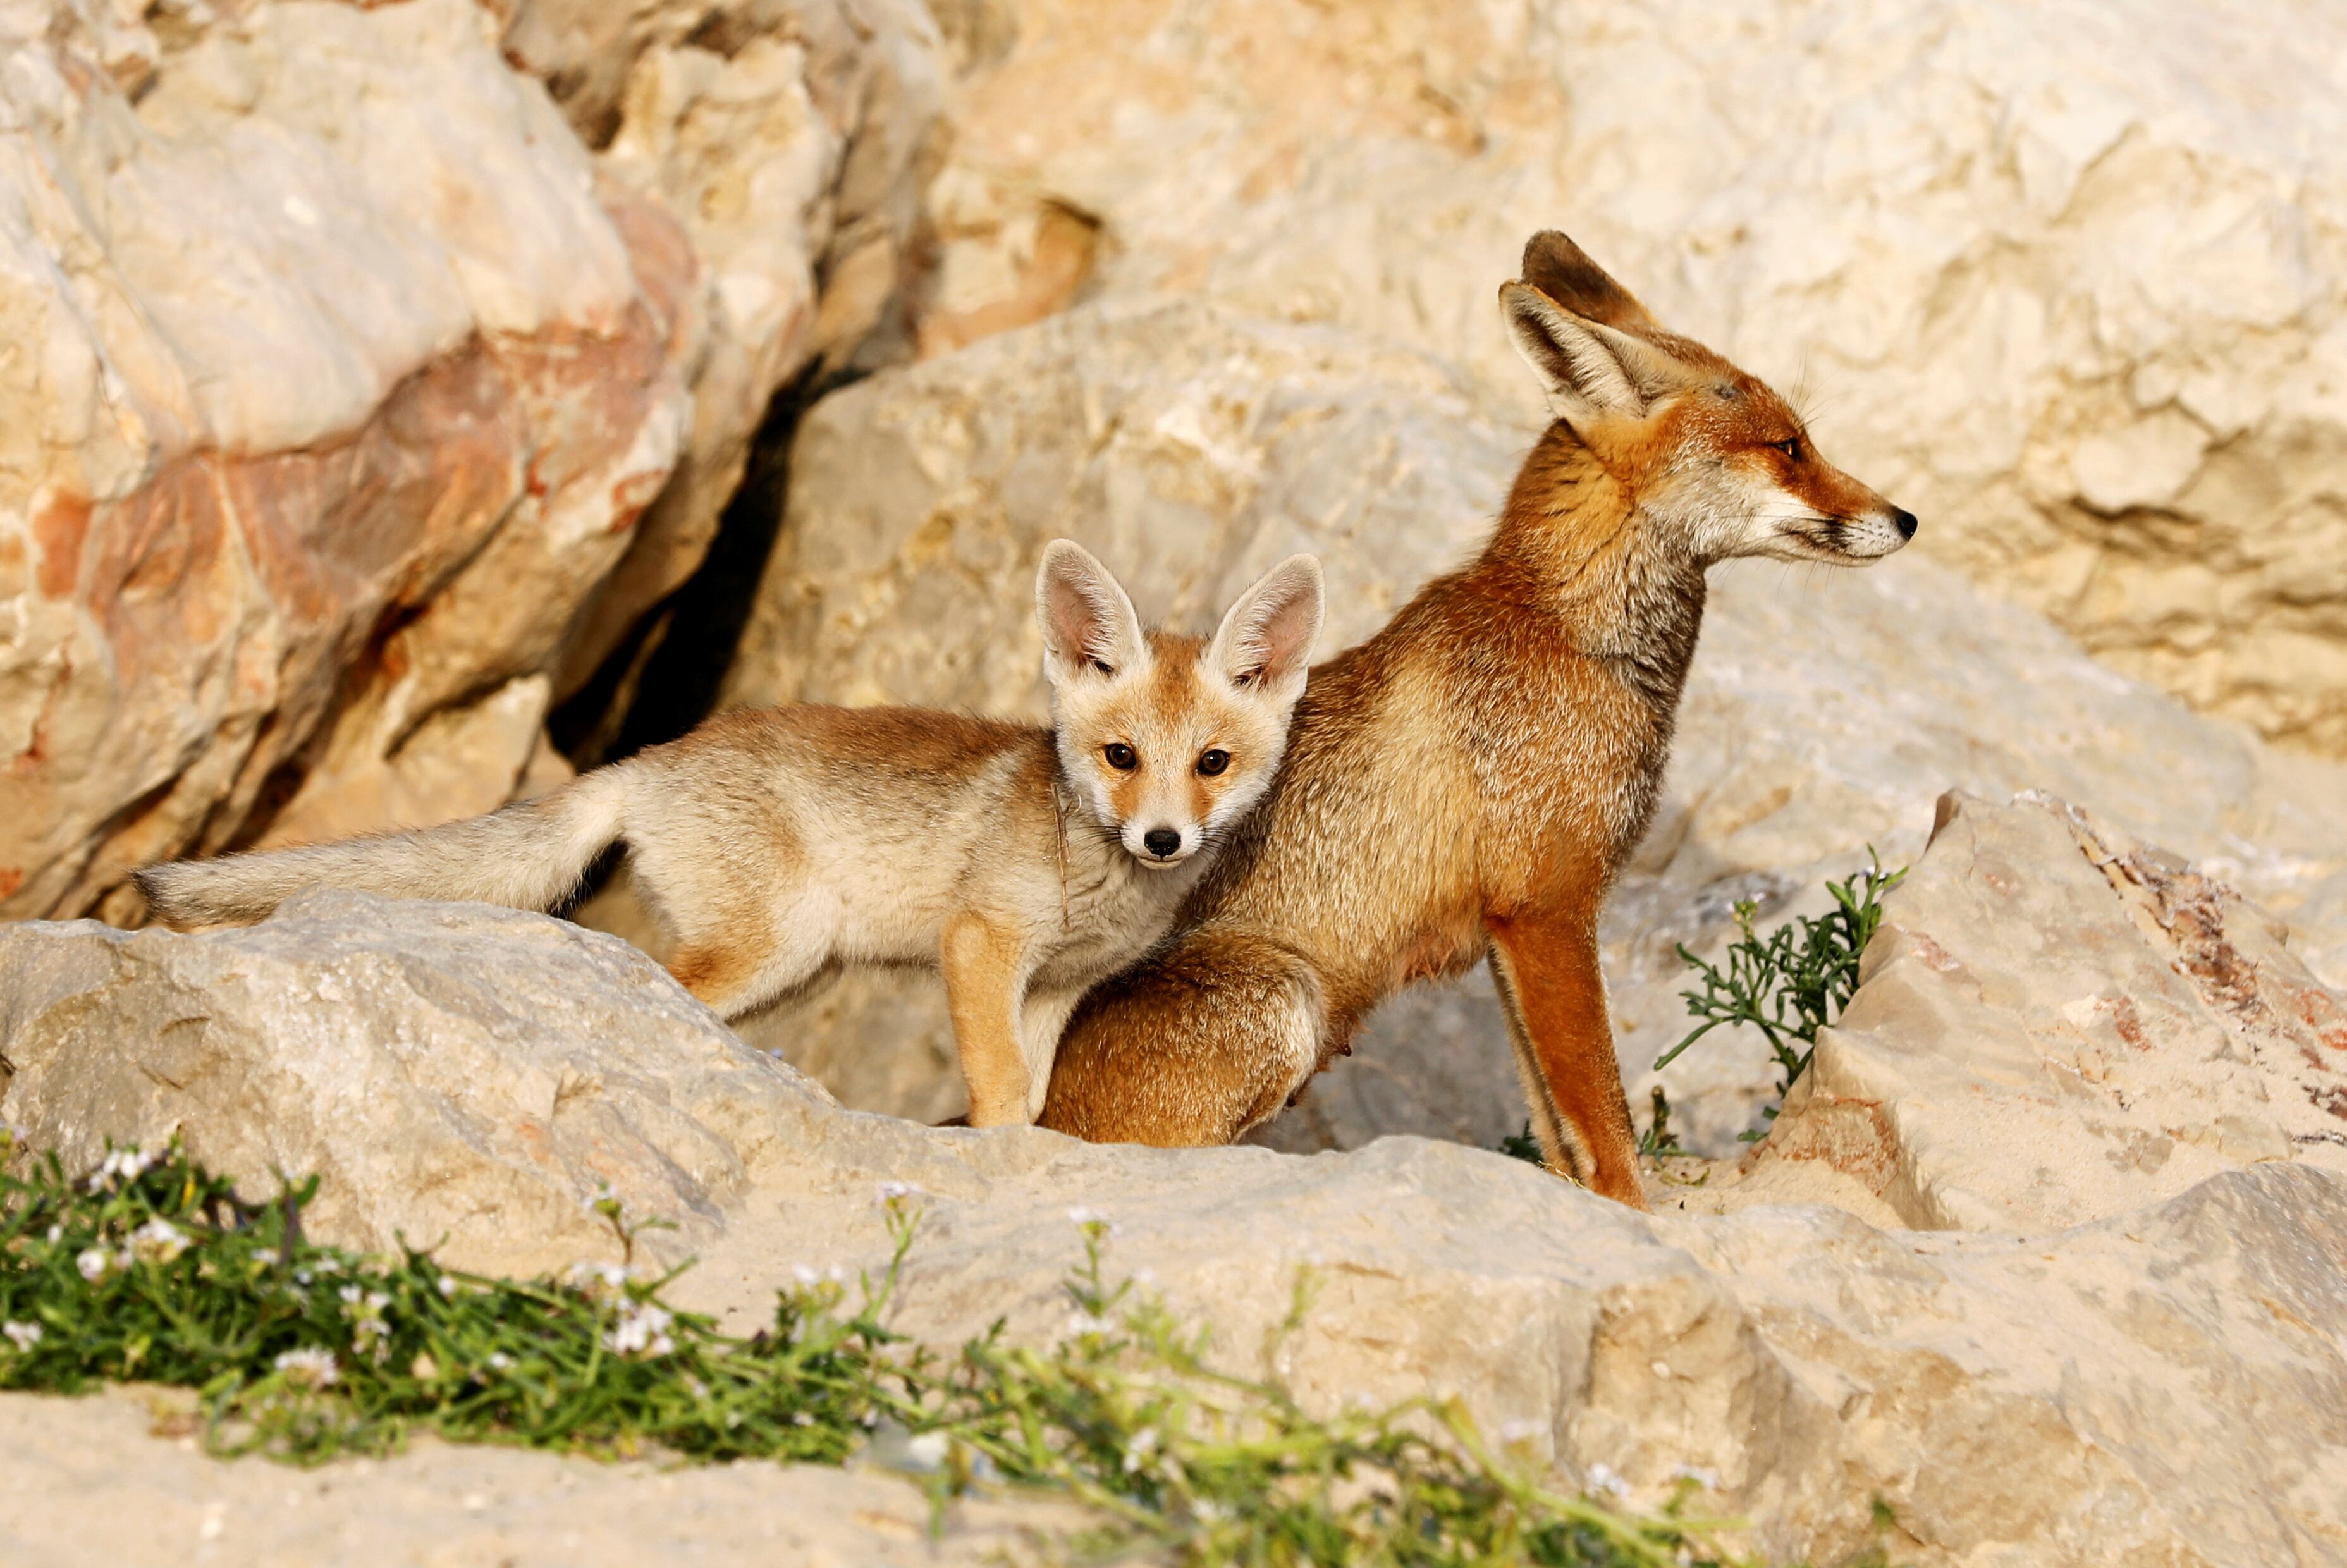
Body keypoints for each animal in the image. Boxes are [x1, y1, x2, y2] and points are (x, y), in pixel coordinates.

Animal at [1037, 236, 1915, 1211]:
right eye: (1789, 447)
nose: (1906, 518)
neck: (1568, 634)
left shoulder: (1511, 925)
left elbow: (1556, 1126)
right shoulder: (1550, 904)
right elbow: (1604, 1114)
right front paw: (1636, 1218)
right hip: (1281, 994)